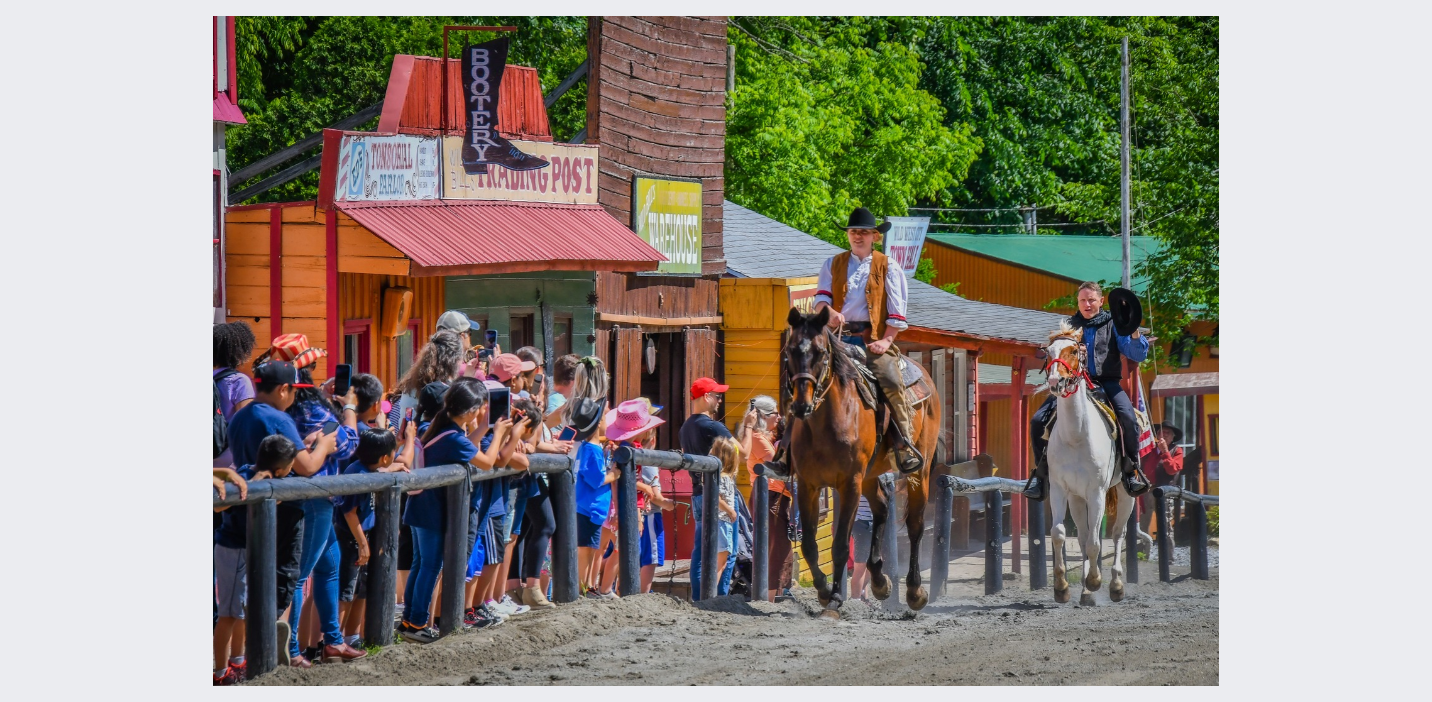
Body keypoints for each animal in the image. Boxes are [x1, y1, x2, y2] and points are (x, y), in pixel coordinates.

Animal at [779, 309, 945, 616]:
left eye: (821, 352)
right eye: (790, 351)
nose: (801, 405)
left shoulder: (849, 485)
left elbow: (840, 545)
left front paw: (834, 598)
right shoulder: (808, 485)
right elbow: (808, 545)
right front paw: (823, 591)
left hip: (920, 472)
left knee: (915, 524)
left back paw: (915, 591)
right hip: (869, 475)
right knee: (881, 507)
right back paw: (880, 580)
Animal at [1048, 326, 1134, 607]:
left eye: (1074, 351)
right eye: (1048, 352)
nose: (1055, 381)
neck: (1076, 436)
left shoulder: (1097, 492)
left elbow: (1097, 543)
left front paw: (1096, 580)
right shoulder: (1059, 489)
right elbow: (1059, 534)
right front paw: (1062, 587)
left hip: (1127, 494)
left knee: (1117, 534)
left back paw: (1115, 585)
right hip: (1077, 498)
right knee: (1084, 536)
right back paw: (1085, 592)